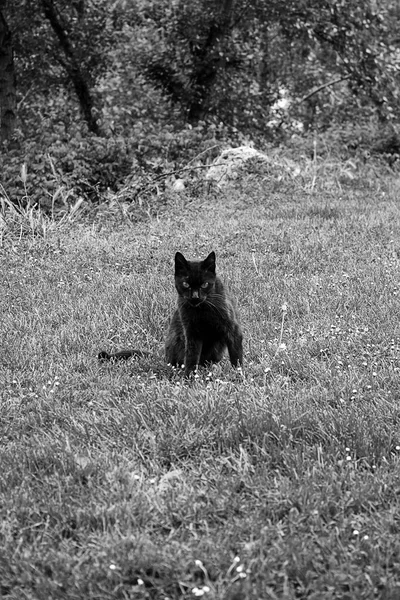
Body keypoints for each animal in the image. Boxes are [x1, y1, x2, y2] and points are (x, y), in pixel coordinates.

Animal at [100, 250, 244, 376]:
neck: (202, 310)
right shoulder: (191, 334)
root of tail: (164, 358)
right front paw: (189, 378)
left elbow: (236, 357)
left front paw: (239, 376)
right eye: (185, 284)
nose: (195, 297)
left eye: (204, 284)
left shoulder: (232, 330)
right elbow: (191, 358)